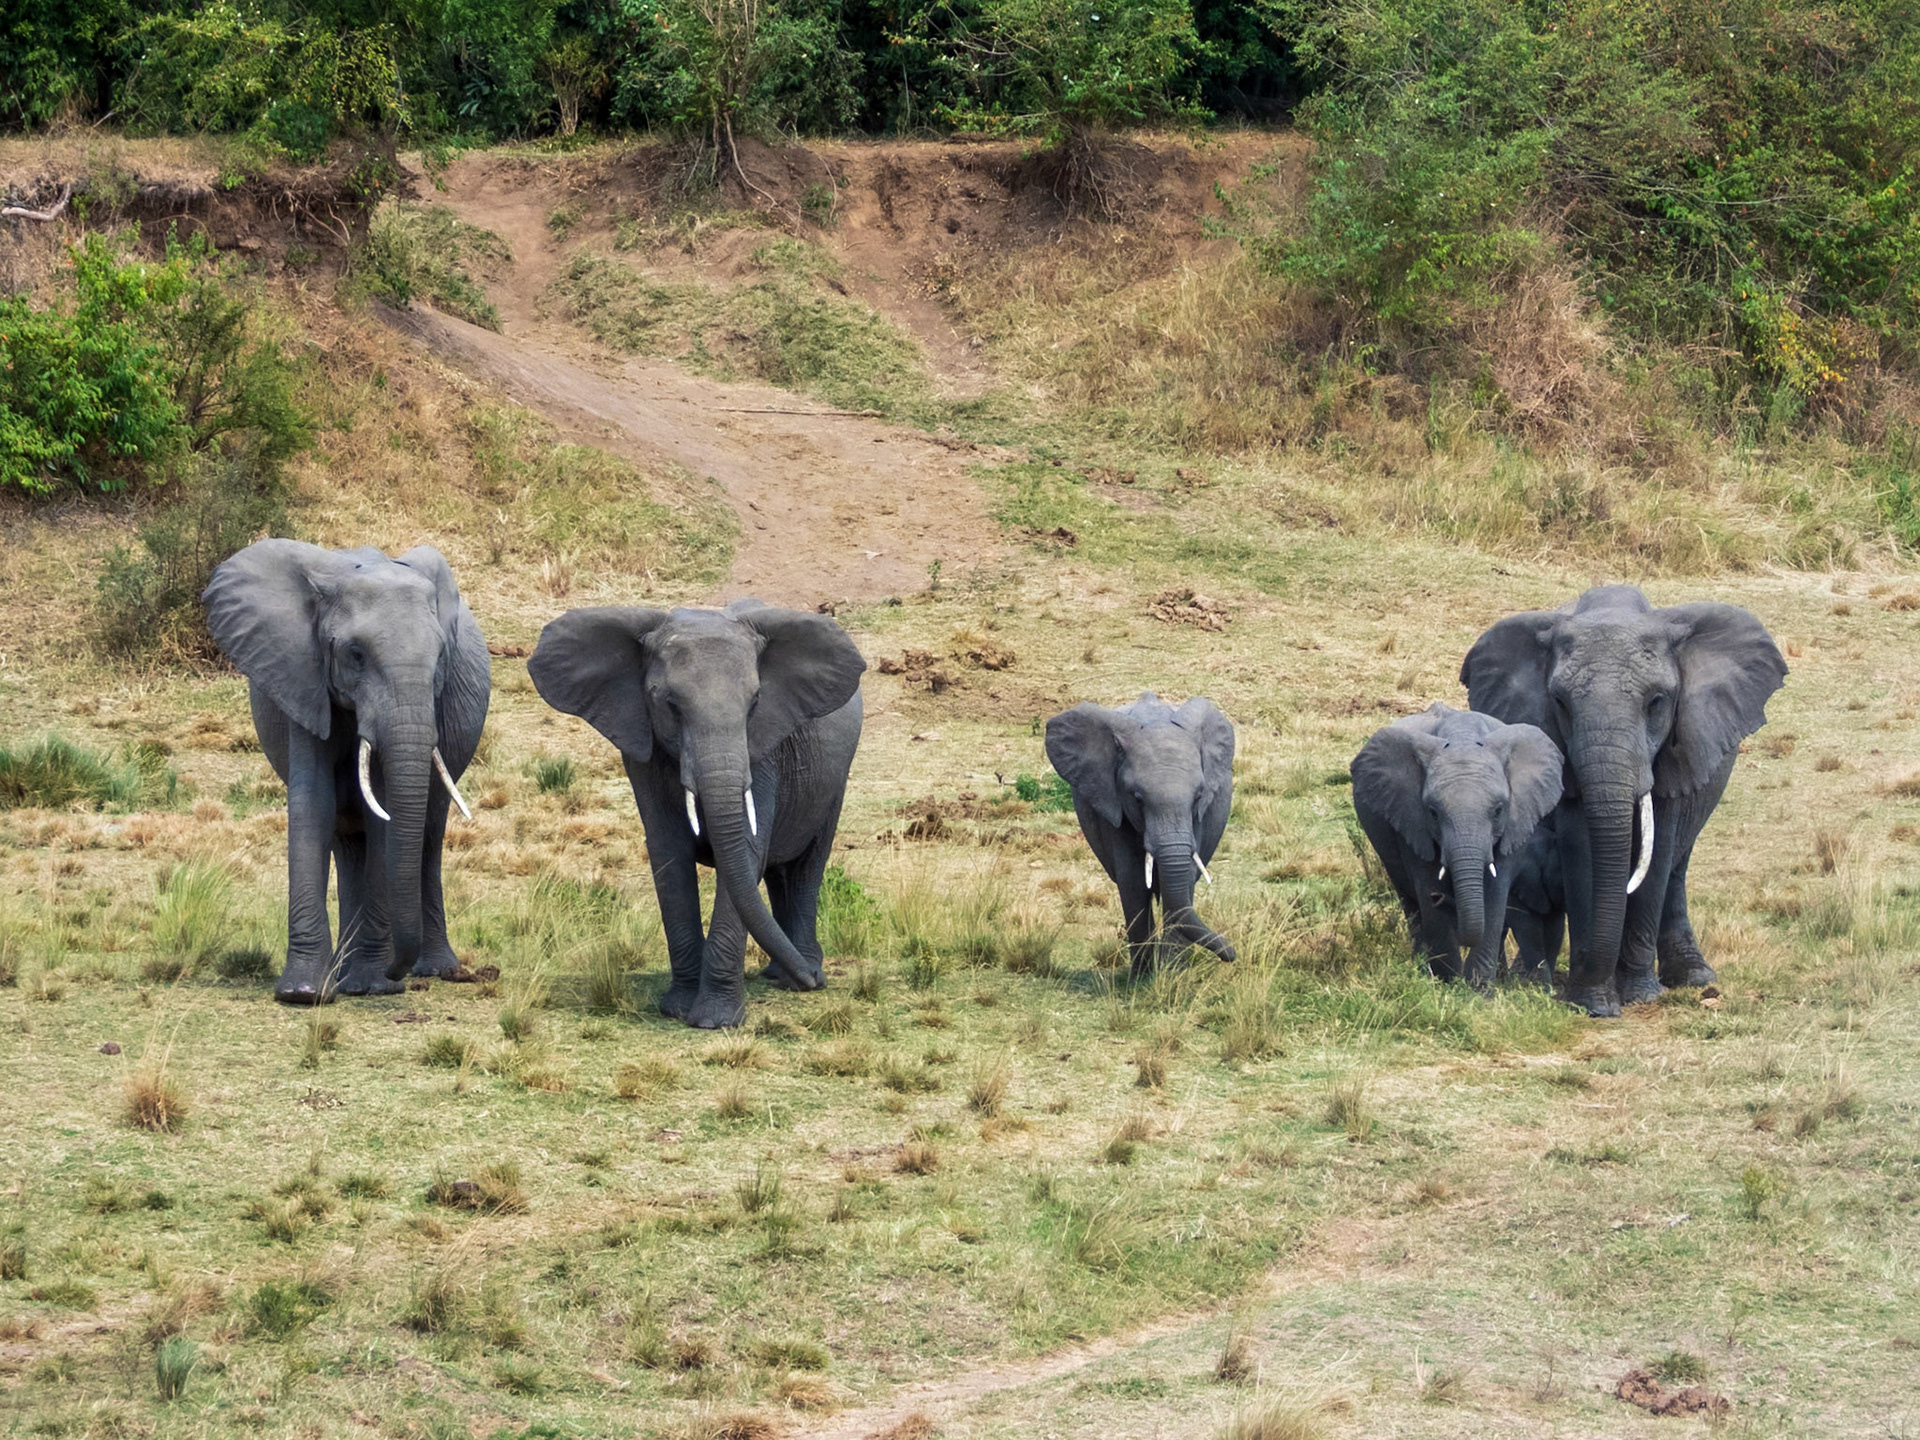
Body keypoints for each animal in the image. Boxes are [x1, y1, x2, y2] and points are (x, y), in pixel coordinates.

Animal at [203, 540, 490, 1004]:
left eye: (441, 660)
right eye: (355, 655)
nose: (397, 973)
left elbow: (384, 818)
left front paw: (371, 986)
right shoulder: (302, 676)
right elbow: (314, 806)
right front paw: (303, 993)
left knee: (428, 835)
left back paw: (432, 971)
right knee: (348, 841)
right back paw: (341, 975)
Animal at [527, 600, 864, 1030]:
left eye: (755, 704)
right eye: (670, 705)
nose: (814, 985)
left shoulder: (762, 749)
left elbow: (747, 847)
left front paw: (716, 1021)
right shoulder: (643, 746)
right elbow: (669, 853)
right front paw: (677, 1009)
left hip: (835, 780)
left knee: (808, 866)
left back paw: (796, 973)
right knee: (777, 872)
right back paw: (784, 973)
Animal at [1044, 693, 1236, 977]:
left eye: (1198, 796)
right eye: (1137, 798)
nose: (1230, 954)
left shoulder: (1200, 817)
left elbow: (1184, 881)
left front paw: (1171, 978)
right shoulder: (1112, 805)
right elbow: (1133, 881)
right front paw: (1143, 979)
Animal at [1350, 703, 1563, 991]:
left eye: (1498, 810)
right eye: (1433, 812)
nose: (1440, 898)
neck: (1463, 738)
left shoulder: (1514, 822)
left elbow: (1494, 896)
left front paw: (1478, 993)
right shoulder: (1413, 821)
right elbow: (1428, 886)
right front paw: (1448, 987)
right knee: (1410, 903)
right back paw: (1421, 971)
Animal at [1462, 584, 1787, 1016]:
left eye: (1657, 702)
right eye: (1560, 703)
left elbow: (1658, 853)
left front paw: (1638, 995)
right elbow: (1582, 852)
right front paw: (1593, 1003)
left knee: (1676, 867)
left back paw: (1694, 979)